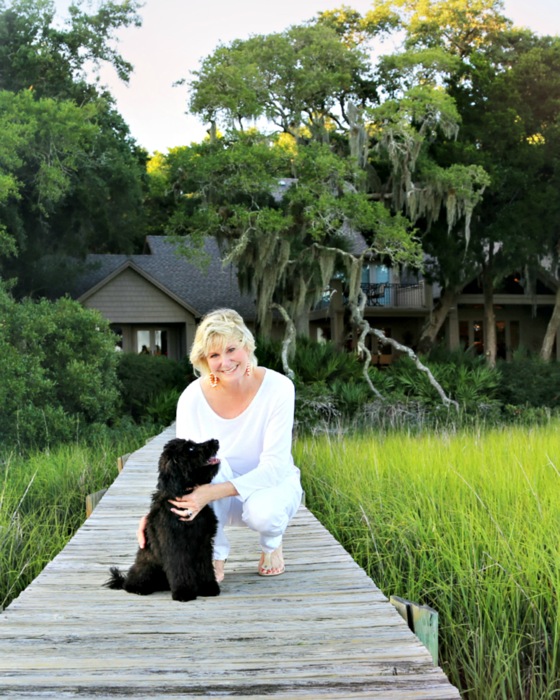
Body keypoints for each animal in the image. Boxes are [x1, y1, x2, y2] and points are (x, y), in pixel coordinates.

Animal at [104, 438, 221, 600]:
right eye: (190, 448)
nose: (215, 441)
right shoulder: (175, 545)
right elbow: (180, 569)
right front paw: (184, 592)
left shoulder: (203, 543)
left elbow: (205, 568)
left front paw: (208, 587)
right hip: (147, 567)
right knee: (131, 583)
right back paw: (139, 588)